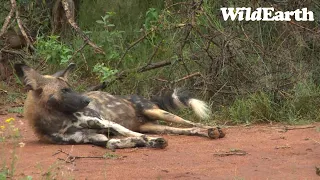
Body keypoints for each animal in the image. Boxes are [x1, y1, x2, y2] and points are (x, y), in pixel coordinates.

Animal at [14, 63, 225, 149]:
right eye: (64, 91)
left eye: (70, 87)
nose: (86, 100)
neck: (58, 120)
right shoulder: (96, 138)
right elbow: (118, 143)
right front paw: (151, 143)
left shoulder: (104, 123)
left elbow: (131, 134)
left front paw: (148, 141)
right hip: (156, 125)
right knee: (185, 130)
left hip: (158, 112)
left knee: (192, 123)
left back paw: (212, 129)